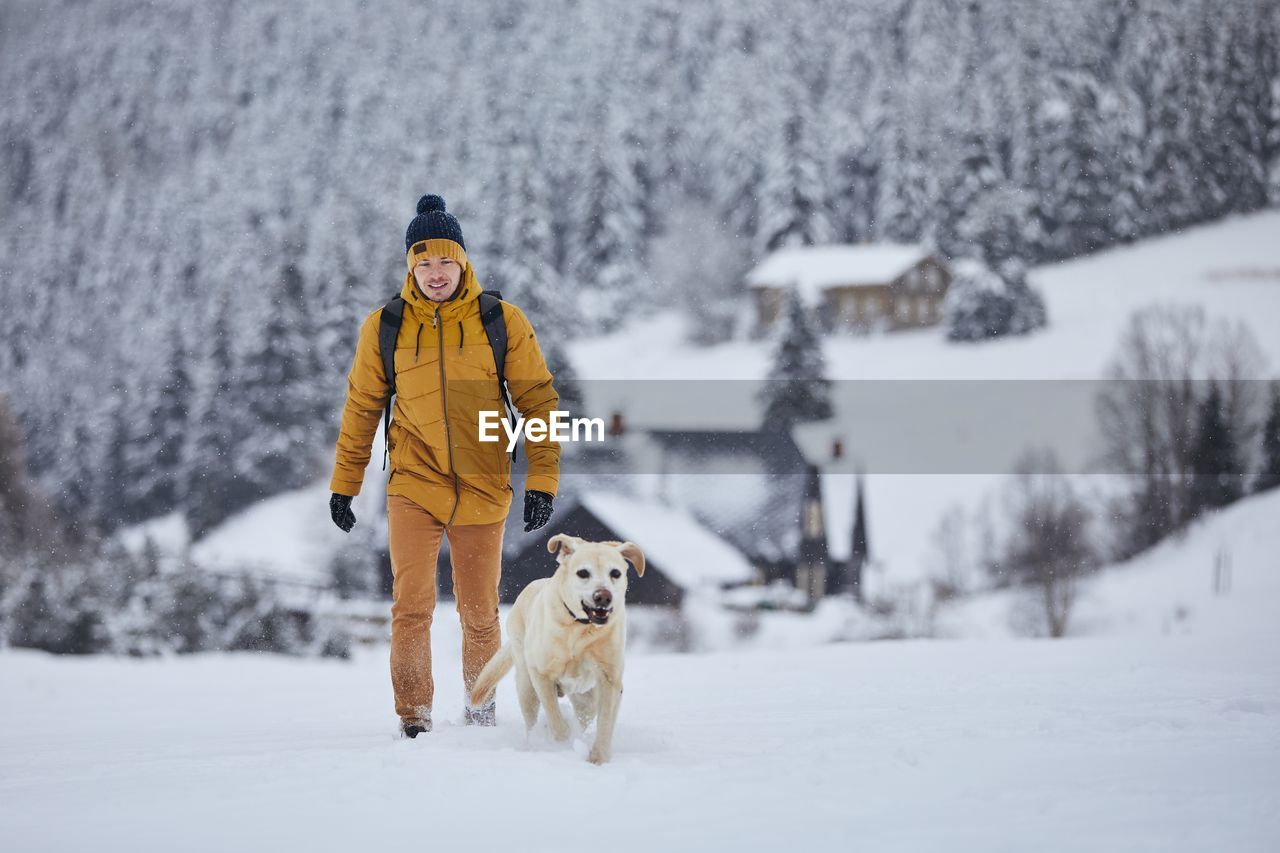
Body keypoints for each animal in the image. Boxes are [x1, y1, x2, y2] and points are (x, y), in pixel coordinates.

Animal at [471, 532, 645, 763]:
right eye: (583, 573)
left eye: (615, 573)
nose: (603, 596)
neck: (579, 628)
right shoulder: (541, 675)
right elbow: (556, 719)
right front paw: (561, 742)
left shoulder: (610, 678)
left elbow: (606, 722)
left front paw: (598, 758)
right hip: (526, 685)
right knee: (532, 720)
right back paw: (537, 741)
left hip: (586, 698)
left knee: (585, 714)